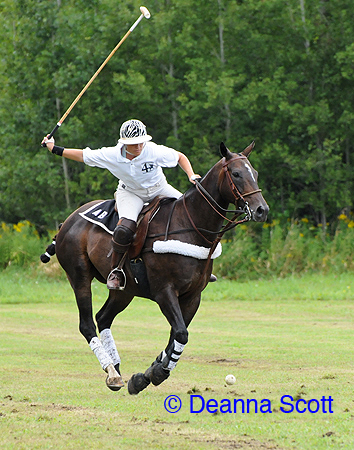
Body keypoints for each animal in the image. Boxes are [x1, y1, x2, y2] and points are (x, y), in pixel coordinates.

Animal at [42, 141, 268, 394]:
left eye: (255, 173)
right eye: (236, 174)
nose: (262, 210)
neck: (191, 226)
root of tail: (67, 222)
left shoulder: (193, 296)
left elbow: (176, 335)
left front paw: (147, 374)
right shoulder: (164, 291)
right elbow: (181, 333)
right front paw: (157, 372)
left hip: (125, 290)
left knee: (103, 317)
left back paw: (116, 367)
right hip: (78, 275)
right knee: (87, 323)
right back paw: (111, 372)